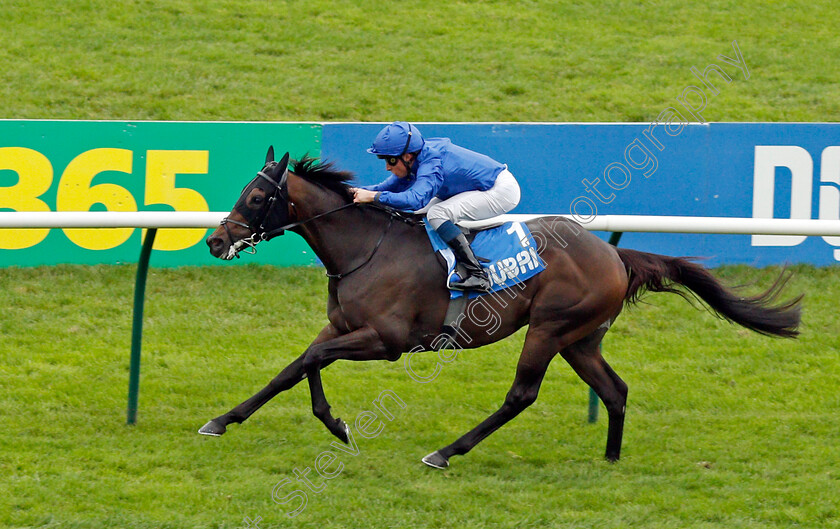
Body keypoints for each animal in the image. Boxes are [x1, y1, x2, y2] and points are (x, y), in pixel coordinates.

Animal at [199, 147, 800, 466]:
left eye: (257, 197)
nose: (214, 240)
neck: (365, 248)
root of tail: (613, 253)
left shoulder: (385, 342)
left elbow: (309, 362)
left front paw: (335, 426)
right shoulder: (340, 328)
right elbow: (296, 367)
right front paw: (228, 420)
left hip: (550, 329)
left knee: (521, 395)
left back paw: (447, 452)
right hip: (580, 339)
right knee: (615, 390)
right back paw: (610, 459)